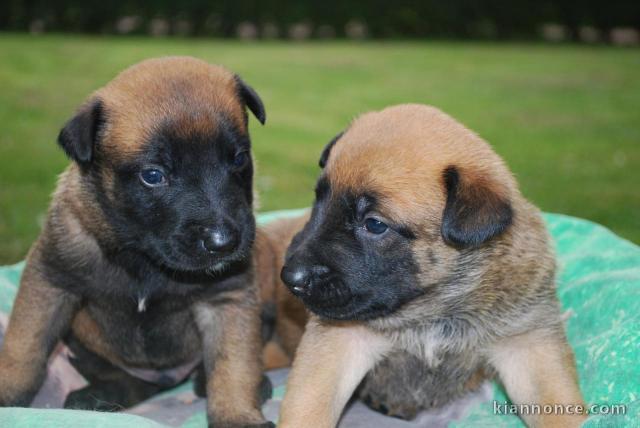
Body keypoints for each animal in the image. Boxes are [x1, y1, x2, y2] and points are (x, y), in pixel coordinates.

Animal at [0, 56, 272, 428]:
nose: (224, 242)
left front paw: (237, 414)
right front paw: (7, 394)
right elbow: (23, 348)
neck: (144, 258)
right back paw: (98, 397)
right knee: (124, 379)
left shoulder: (227, 297)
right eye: (153, 176)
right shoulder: (50, 282)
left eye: (240, 159)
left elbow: (233, 366)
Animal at [278, 104, 588, 428]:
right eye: (319, 202)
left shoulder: (527, 344)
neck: (434, 306)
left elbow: (558, 404)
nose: (290, 277)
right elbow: (310, 404)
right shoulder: (339, 342)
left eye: (374, 224)